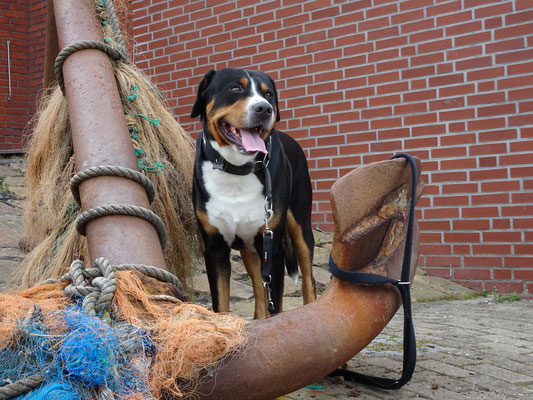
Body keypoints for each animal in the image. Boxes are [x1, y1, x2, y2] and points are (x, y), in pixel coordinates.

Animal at [191, 69, 316, 318]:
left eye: (268, 95)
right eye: (236, 88)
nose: (264, 109)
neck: (237, 170)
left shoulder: (274, 248)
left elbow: (276, 307)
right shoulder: (215, 248)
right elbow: (221, 306)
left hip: (300, 227)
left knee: (309, 279)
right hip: (250, 248)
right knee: (259, 288)